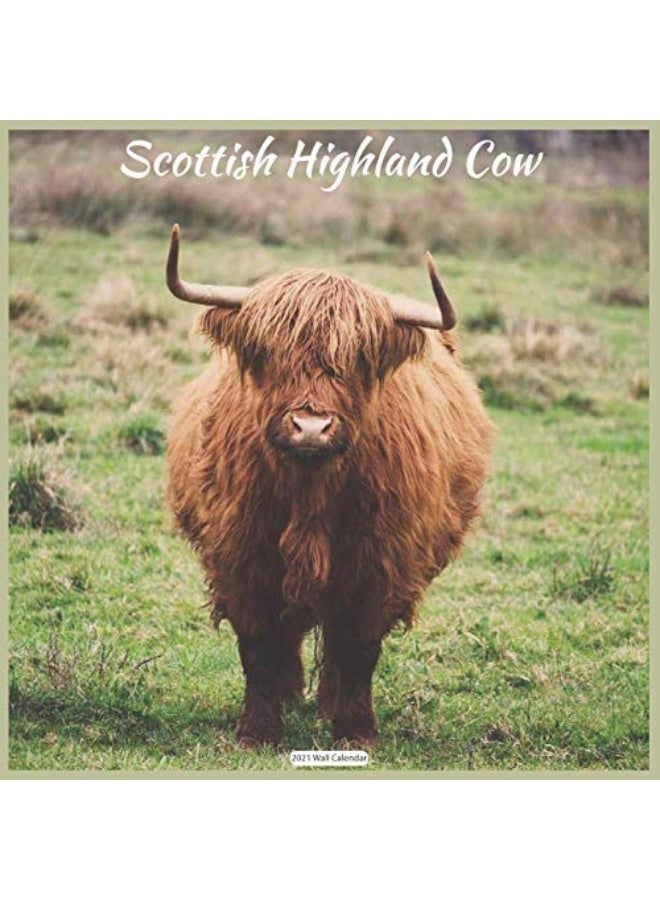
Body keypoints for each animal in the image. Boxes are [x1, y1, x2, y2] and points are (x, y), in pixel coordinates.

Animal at [165, 224, 493, 747]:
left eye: (357, 360)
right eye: (269, 353)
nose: (311, 427)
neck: (310, 493)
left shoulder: (379, 565)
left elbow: (357, 650)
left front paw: (355, 731)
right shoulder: (242, 558)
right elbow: (258, 648)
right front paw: (258, 731)